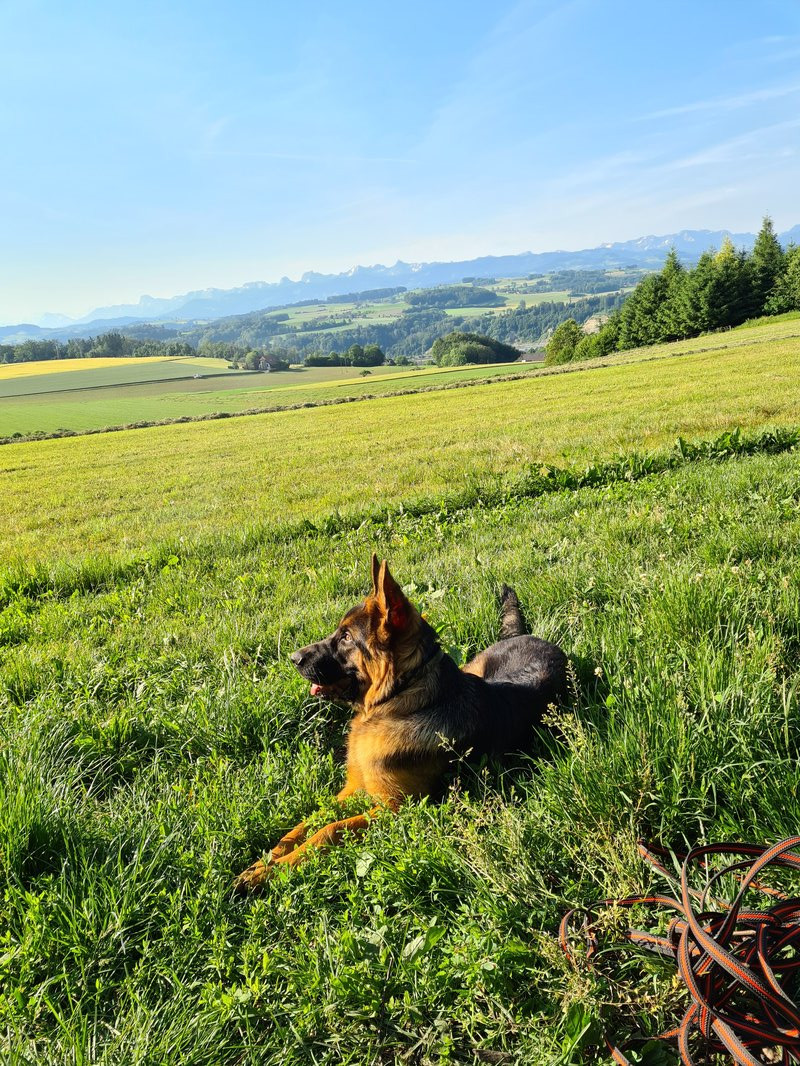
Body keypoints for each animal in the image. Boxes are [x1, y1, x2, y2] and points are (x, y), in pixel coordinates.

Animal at [234, 555, 567, 890]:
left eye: (346, 638)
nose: (293, 658)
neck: (398, 701)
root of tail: (526, 635)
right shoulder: (353, 790)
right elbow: (307, 822)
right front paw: (266, 861)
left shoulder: (392, 809)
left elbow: (329, 829)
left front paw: (273, 869)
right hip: (474, 667)